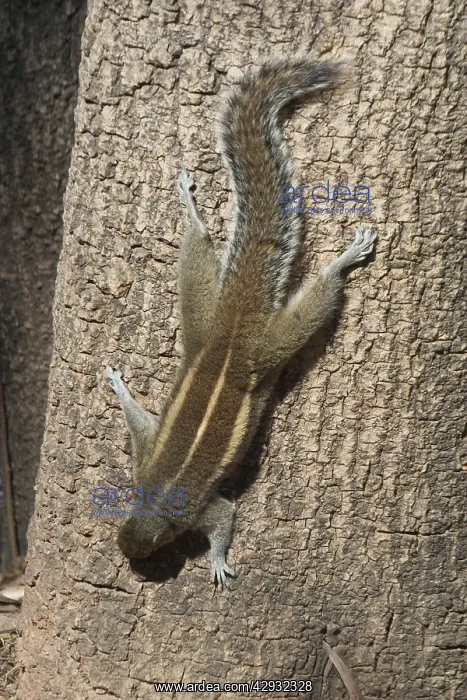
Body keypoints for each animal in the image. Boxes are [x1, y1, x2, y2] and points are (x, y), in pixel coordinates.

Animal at [106, 58, 377, 586]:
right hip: (199, 318)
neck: (155, 494)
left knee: (312, 305)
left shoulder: (199, 508)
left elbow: (224, 519)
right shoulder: (143, 458)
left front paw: (216, 561)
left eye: (153, 547)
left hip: (270, 344)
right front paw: (120, 388)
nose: (131, 566)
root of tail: (231, 327)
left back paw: (341, 261)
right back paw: (192, 213)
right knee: (198, 251)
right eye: (120, 528)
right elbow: (141, 422)